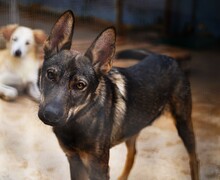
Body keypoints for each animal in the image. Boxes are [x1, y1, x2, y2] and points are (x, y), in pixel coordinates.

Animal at [37, 10, 199, 180]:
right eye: (50, 75)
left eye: (80, 85)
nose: (50, 114)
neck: (77, 122)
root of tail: (166, 57)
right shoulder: (74, 160)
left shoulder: (98, 167)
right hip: (132, 128)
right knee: (133, 154)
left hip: (183, 123)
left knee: (194, 158)